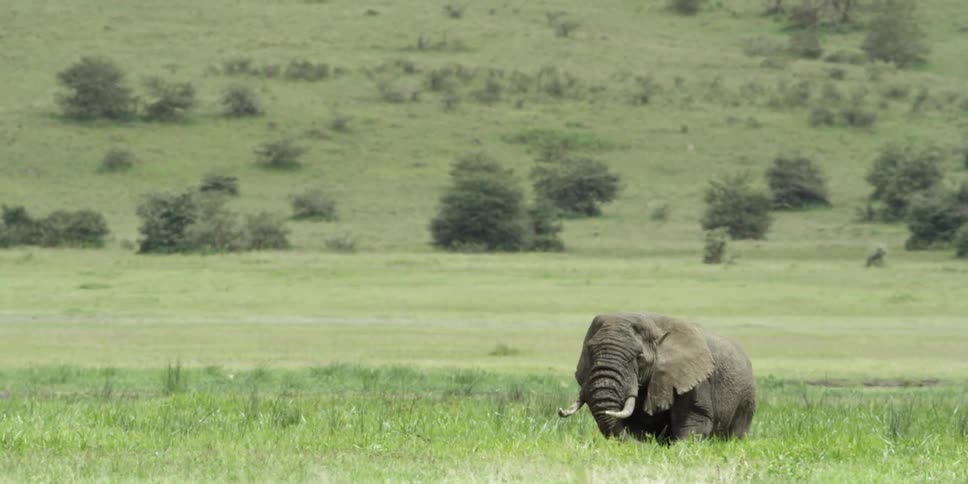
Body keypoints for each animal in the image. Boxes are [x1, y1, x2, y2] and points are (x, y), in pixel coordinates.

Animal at [557, 312, 755, 442]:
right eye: (589, 351)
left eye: (639, 357)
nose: (560, 411)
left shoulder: (695, 380)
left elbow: (694, 420)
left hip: (747, 397)